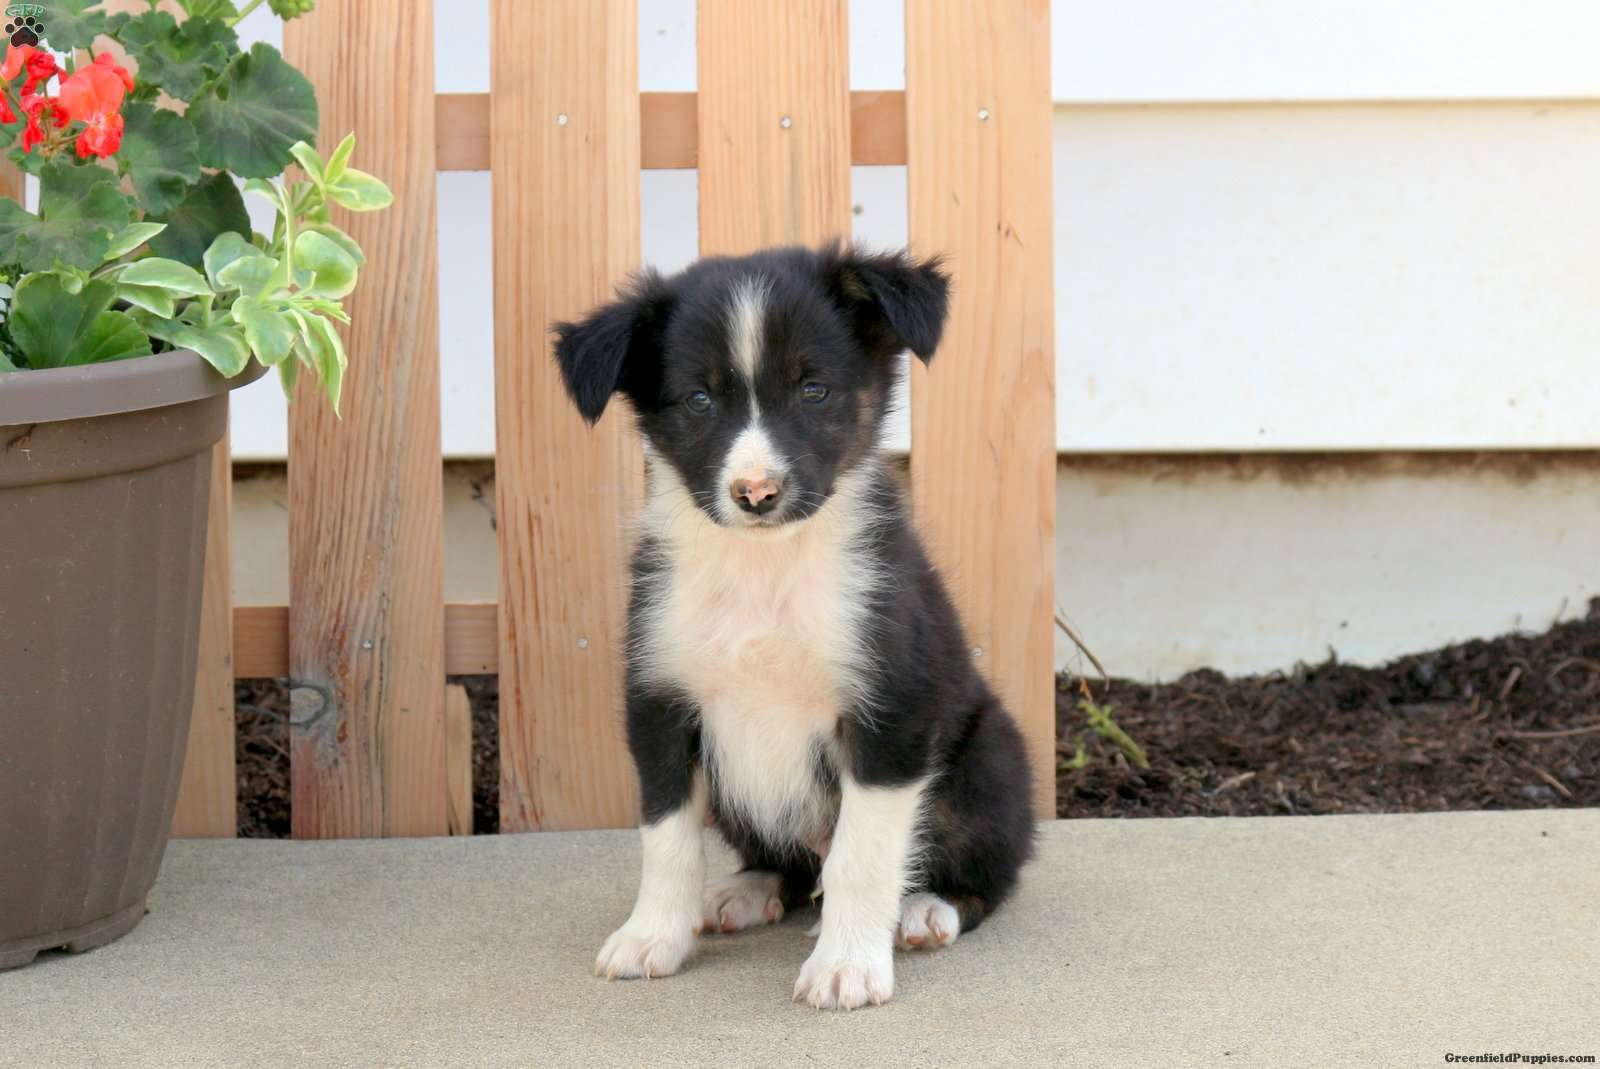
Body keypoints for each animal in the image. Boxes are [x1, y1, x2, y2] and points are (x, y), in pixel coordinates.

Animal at [553, 243, 1034, 1010]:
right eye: (699, 400)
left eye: (814, 390)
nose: (757, 493)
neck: (764, 568)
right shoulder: (660, 703)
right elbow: (666, 837)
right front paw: (651, 936)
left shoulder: (889, 710)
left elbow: (862, 855)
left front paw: (847, 966)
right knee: (787, 863)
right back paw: (744, 892)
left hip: (989, 760)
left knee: (983, 872)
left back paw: (926, 909)